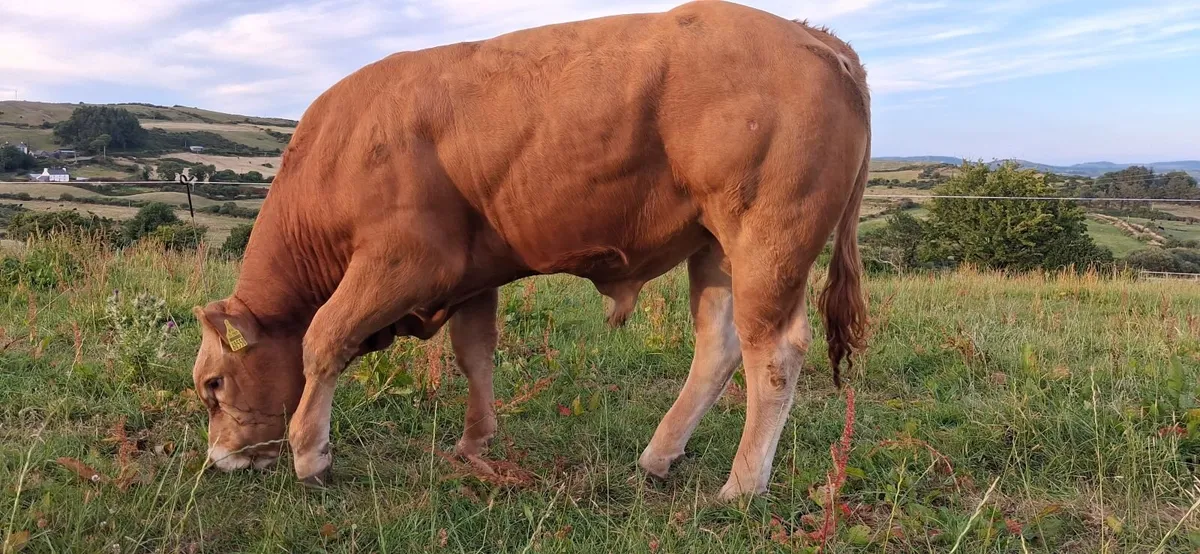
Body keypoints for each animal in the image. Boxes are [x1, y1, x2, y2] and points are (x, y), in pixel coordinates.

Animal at [191, 0, 870, 500]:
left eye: (214, 384)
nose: (220, 460)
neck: (343, 147)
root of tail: (817, 37)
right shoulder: (471, 273)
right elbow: (474, 354)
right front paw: (473, 445)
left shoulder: (405, 261)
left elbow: (323, 338)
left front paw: (311, 454)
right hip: (716, 245)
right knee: (720, 347)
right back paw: (658, 456)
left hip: (767, 239)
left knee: (775, 354)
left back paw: (742, 485)